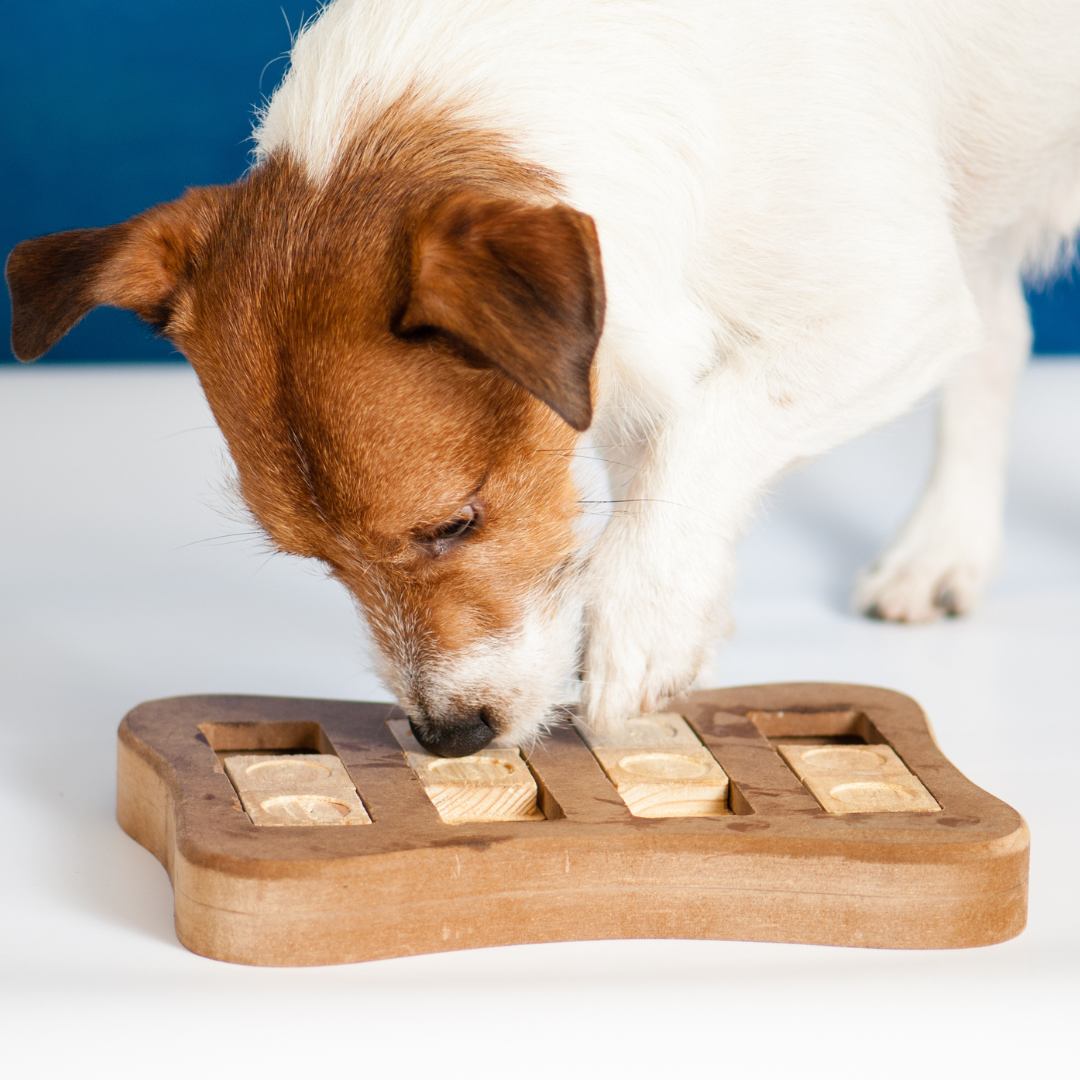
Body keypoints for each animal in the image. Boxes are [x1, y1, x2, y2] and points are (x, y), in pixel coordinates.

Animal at [8, 0, 1080, 756]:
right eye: (316, 561)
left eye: (455, 523)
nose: (447, 740)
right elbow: (660, 465)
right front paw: (683, 605)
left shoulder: (896, 305)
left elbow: (712, 428)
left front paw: (644, 616)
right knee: (1004, 337)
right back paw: (944, 550)